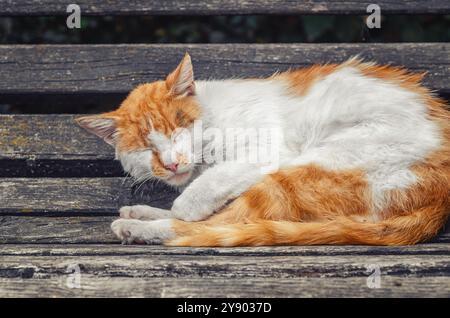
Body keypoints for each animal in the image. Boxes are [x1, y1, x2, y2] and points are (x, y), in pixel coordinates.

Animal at [77, 53, 450, 246]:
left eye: (177, 128)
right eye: (146, 147)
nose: (171, 164)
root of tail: (439, 204)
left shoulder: (267, 150)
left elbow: (205, 191)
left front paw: (187, 202)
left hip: (303, 171)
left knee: (214, 227)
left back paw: (137, 227)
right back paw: (139, 215)